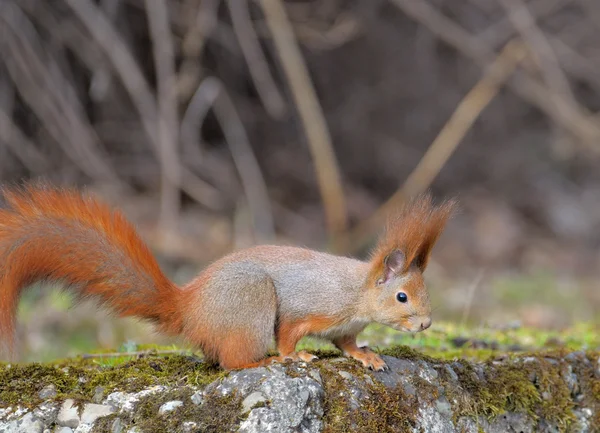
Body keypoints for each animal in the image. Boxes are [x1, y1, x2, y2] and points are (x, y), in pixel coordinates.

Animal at [0, 184, 454, 370]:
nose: (427, 324)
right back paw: (265, 362)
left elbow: (346, 344)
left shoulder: (344, 327)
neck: (357, 294)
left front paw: (365, 355)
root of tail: (189, 308)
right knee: (233, 362)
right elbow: (290, 332)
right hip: (251, 302)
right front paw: (294, 355)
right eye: (402, 297)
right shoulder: (312, 307)